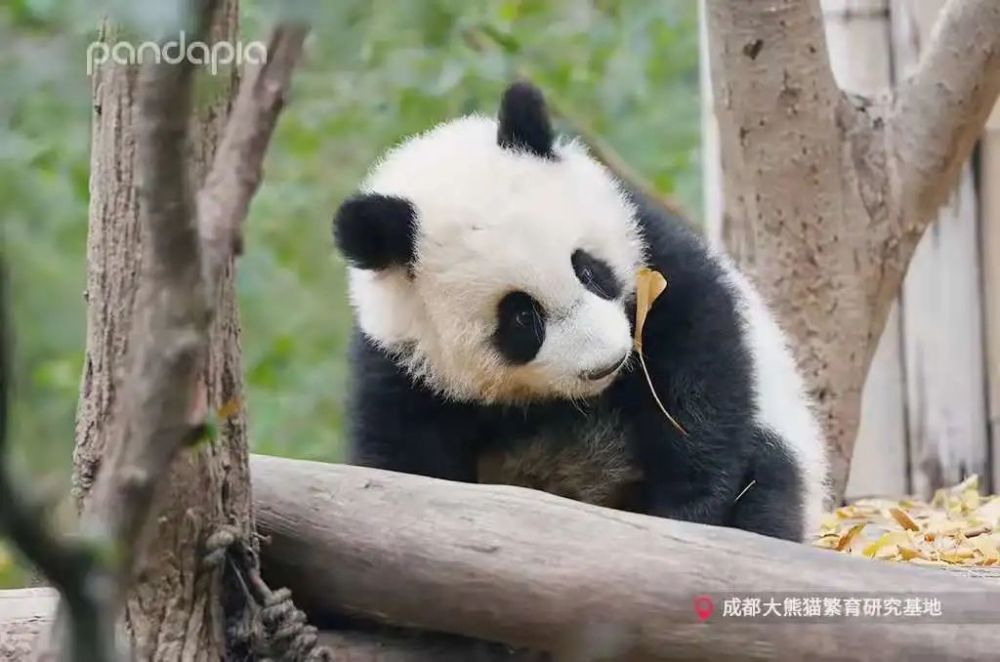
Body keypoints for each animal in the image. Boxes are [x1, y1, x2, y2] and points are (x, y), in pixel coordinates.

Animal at [334, 80, 828, 544]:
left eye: (589, 270)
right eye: (521, 317)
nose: (608, 362)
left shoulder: (651, 251)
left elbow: (697, 366)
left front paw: (687, 510)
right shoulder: (404, 367)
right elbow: (405, 460)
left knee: (768, 477)